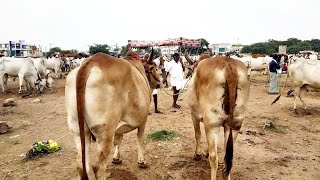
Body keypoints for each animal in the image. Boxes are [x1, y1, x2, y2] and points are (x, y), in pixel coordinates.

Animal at [65, 50, 160, 179]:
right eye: (154, 67)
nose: (159, 82)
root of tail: (91, 62)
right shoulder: (143, 118)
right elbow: (140, 139)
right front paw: (142, 161)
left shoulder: (119, 125)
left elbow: (119, 139)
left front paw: (116, 158)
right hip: (105, 131)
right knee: (98, 167)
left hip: (78, 130)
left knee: (81, 166)